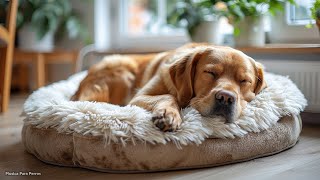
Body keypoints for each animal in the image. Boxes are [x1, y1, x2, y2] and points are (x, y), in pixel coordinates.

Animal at [71, 43, 266, 131]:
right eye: (210, 73)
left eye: (244, 81)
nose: (225, 98)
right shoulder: (139, 97)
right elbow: (168, 96)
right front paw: (168, 114)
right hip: (120, 71)